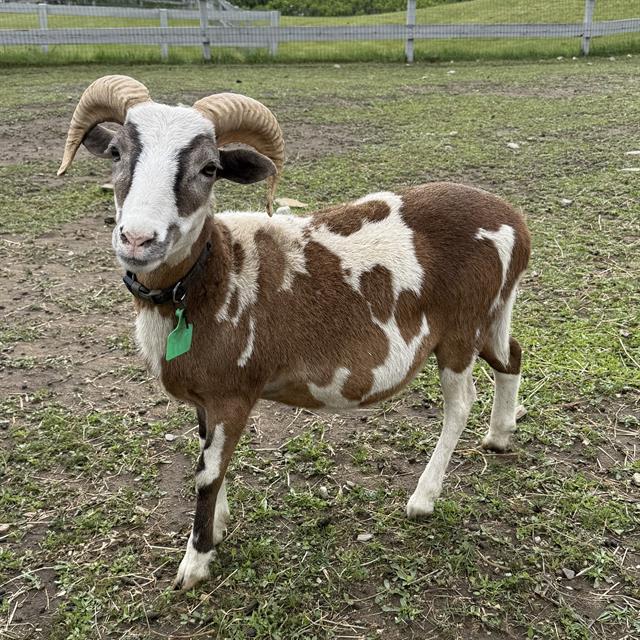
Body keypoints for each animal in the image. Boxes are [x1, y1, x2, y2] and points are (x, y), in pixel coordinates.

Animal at [59, 75, 531, 591]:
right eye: (117, 153)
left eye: (209, 168)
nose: (138, 239)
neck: (215, 273)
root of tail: (513, 221)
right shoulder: (207, 395)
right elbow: (209, 459)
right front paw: (218, 525)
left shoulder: (232, 393)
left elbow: (206, 474)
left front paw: (196, 562)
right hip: (491, 315)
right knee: (511, 356)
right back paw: (500, 436)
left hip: (462, 328)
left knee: (460, 403)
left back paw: (423, 499)